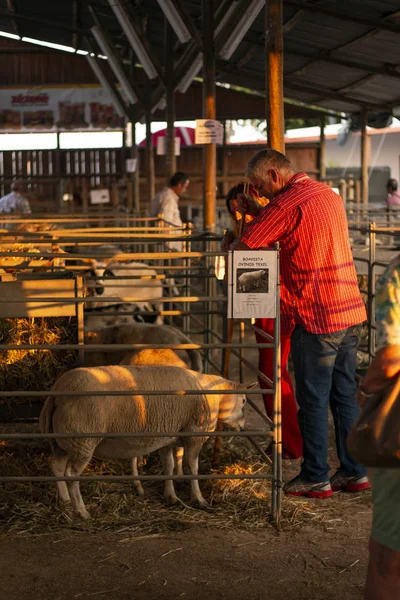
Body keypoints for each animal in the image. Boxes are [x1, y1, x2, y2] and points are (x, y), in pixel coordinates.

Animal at [39, 366, 247, 520]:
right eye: (244, 401)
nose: (244, 428)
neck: (214, 396)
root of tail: (57, 392)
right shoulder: (195, 434)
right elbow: (193, 468)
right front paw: (199, 499)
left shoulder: (167, 437)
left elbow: (169, 466)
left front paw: (171, 497)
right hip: (84, 439)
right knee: (71, 474)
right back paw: (82, 511)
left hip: (64, 442)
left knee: (57, 468)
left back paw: (65, 502)